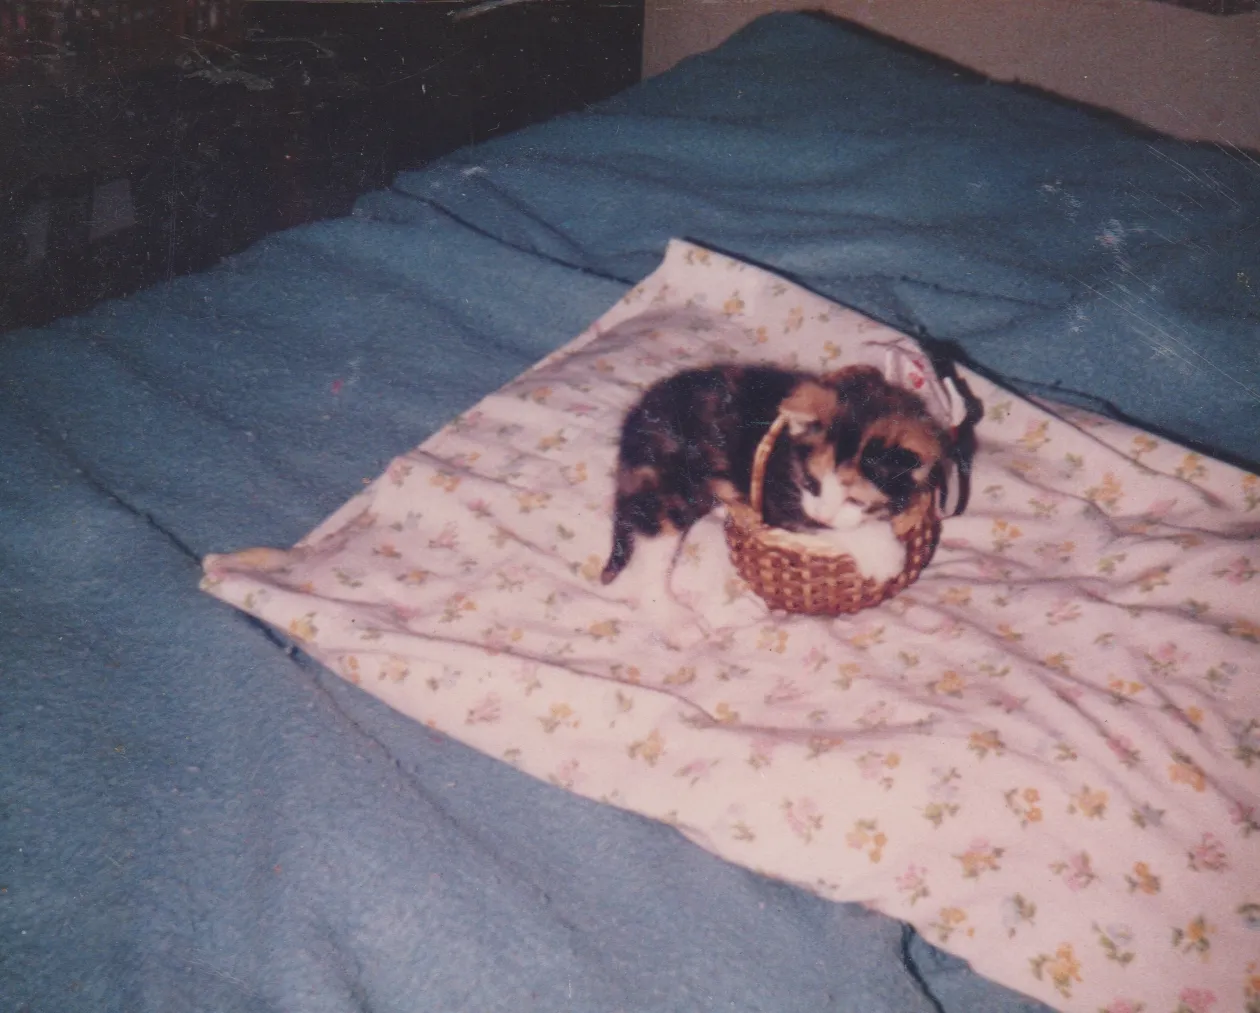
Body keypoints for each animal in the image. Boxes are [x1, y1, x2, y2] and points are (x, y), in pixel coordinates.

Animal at [602, 362, 947, 584]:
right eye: (811, 483)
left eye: (855, 500)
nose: (822, 514)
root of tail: (635, 419)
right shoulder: (774, 497)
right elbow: (809, 520)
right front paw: (885, 553)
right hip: (664, 483)